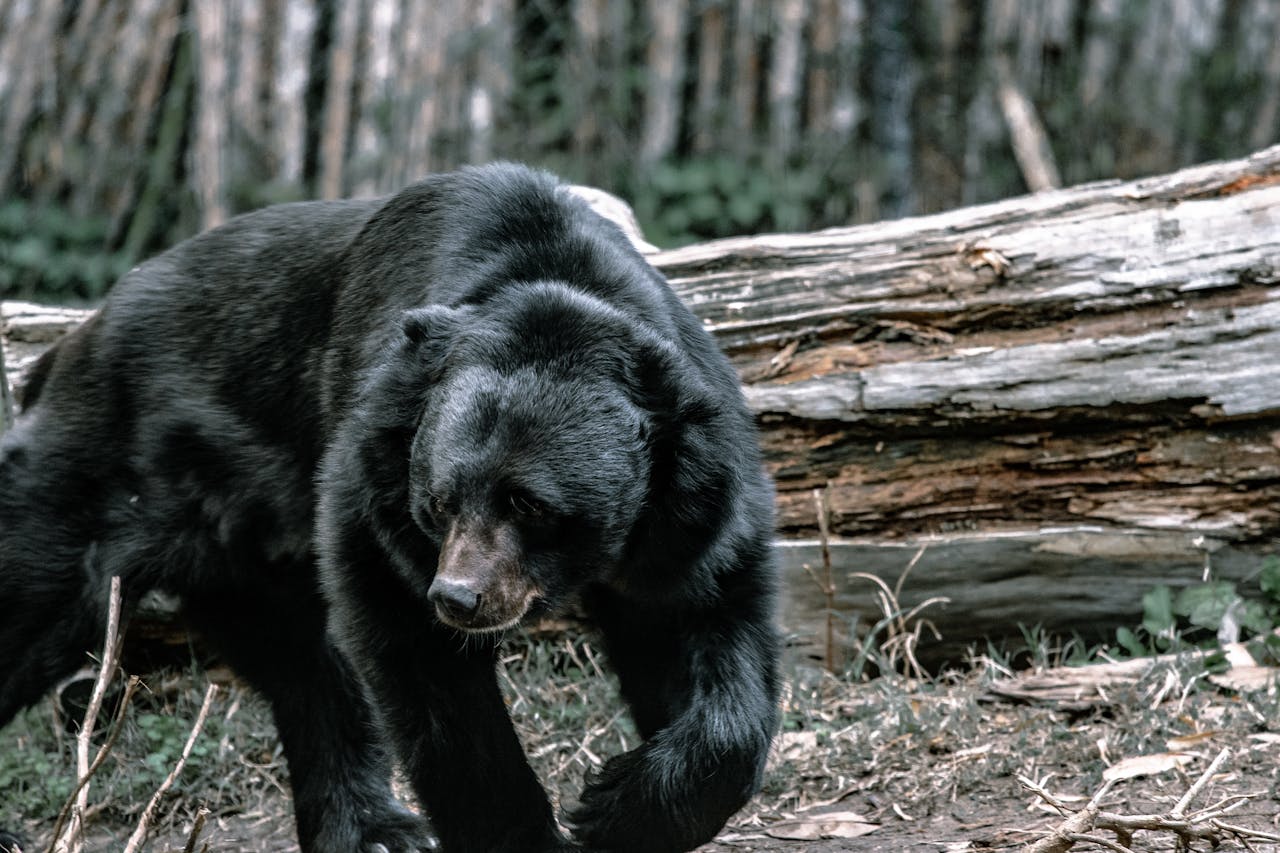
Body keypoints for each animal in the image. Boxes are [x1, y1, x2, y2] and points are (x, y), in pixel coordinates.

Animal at [0, 163, 781, 853]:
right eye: (439, 501)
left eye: (529, 503)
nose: (459, 597)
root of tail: (69, 344)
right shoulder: (374, 481)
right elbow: (424, 668)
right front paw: (534, 834)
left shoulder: (690, 508)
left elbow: (705, 628)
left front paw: (620, 805)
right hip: (102, 474)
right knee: (36, 593)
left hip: (242, 548)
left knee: (303, 665)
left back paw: (373, 828)